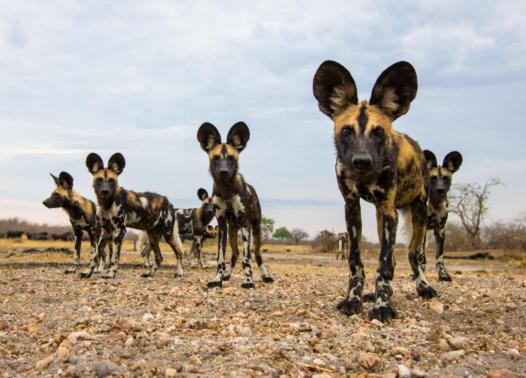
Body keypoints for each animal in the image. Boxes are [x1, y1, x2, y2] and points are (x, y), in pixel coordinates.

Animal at [78, 152, 186, 280]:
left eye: (111, 181)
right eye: (99, 180)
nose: (105, 191)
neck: (107, 203)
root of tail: (169, 202)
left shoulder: (119, 231)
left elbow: (114, 258)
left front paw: (111, 274)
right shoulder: (106, 232)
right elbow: (95, 255)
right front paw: (88, 272)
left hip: (168, 234)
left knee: (178, 253)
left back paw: (179, 273)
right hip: (153, 237)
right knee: (159, 257)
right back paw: (149, 274)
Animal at [196, 122, 274, 288]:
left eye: (231, 158)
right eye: (216, 158)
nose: (224, 172)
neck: (227, 190)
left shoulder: (245, 224)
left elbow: (247, 258)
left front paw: (248, 281)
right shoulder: (222, 226)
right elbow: (220, 258)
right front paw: (217, 279)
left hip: (256, 230)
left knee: (257, 254)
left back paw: (265, 275)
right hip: (232, 232)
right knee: (235, 254)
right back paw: (227, 275)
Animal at [316, 59, 440, 322]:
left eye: (379, 132)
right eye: (346, 131)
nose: (362, 161)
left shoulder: (389, 210)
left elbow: (384, 265)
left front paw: (383, 306)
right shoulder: (352, 208)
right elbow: (356, 262)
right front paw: (354, 299)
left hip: (418, 215)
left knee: (414, 255)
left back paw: (423, 287)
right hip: (380, 217)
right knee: (393, 256)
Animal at [422, 150, 464, 280]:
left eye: (446, 178)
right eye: (433, 178)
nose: (440, 189)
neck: (435, 203)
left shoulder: (440, 230)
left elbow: (439, 257)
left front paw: (443, 275)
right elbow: (421, 256)